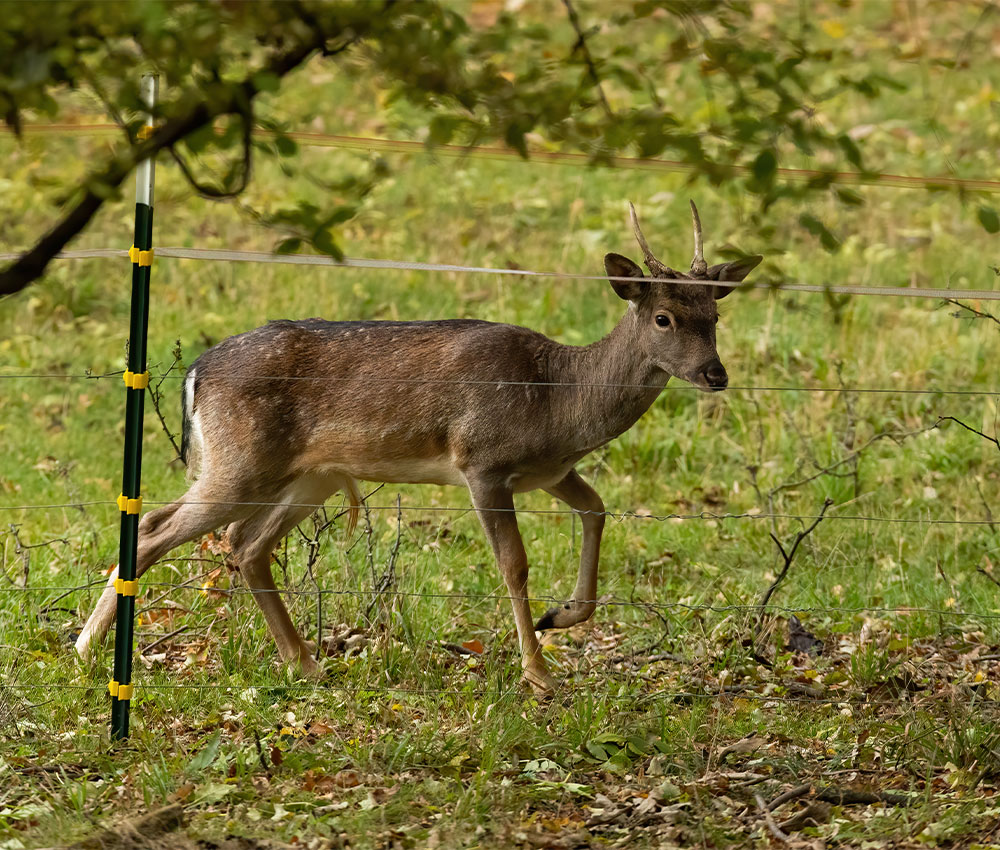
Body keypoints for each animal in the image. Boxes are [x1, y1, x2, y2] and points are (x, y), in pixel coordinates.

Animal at [78, 202, 760, 692]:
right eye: (664, 318)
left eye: (714, 315)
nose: (715, 373)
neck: (561, 400)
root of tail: (195, 373)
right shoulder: (483, 460)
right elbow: (513, 564)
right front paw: (539, 672)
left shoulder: (549, 470)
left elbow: (597, 510)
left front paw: (561, 617)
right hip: (238, 460)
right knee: (156, 527)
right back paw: (86, 651)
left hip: (308, 474)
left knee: (245, 546)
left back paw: (306, 663)